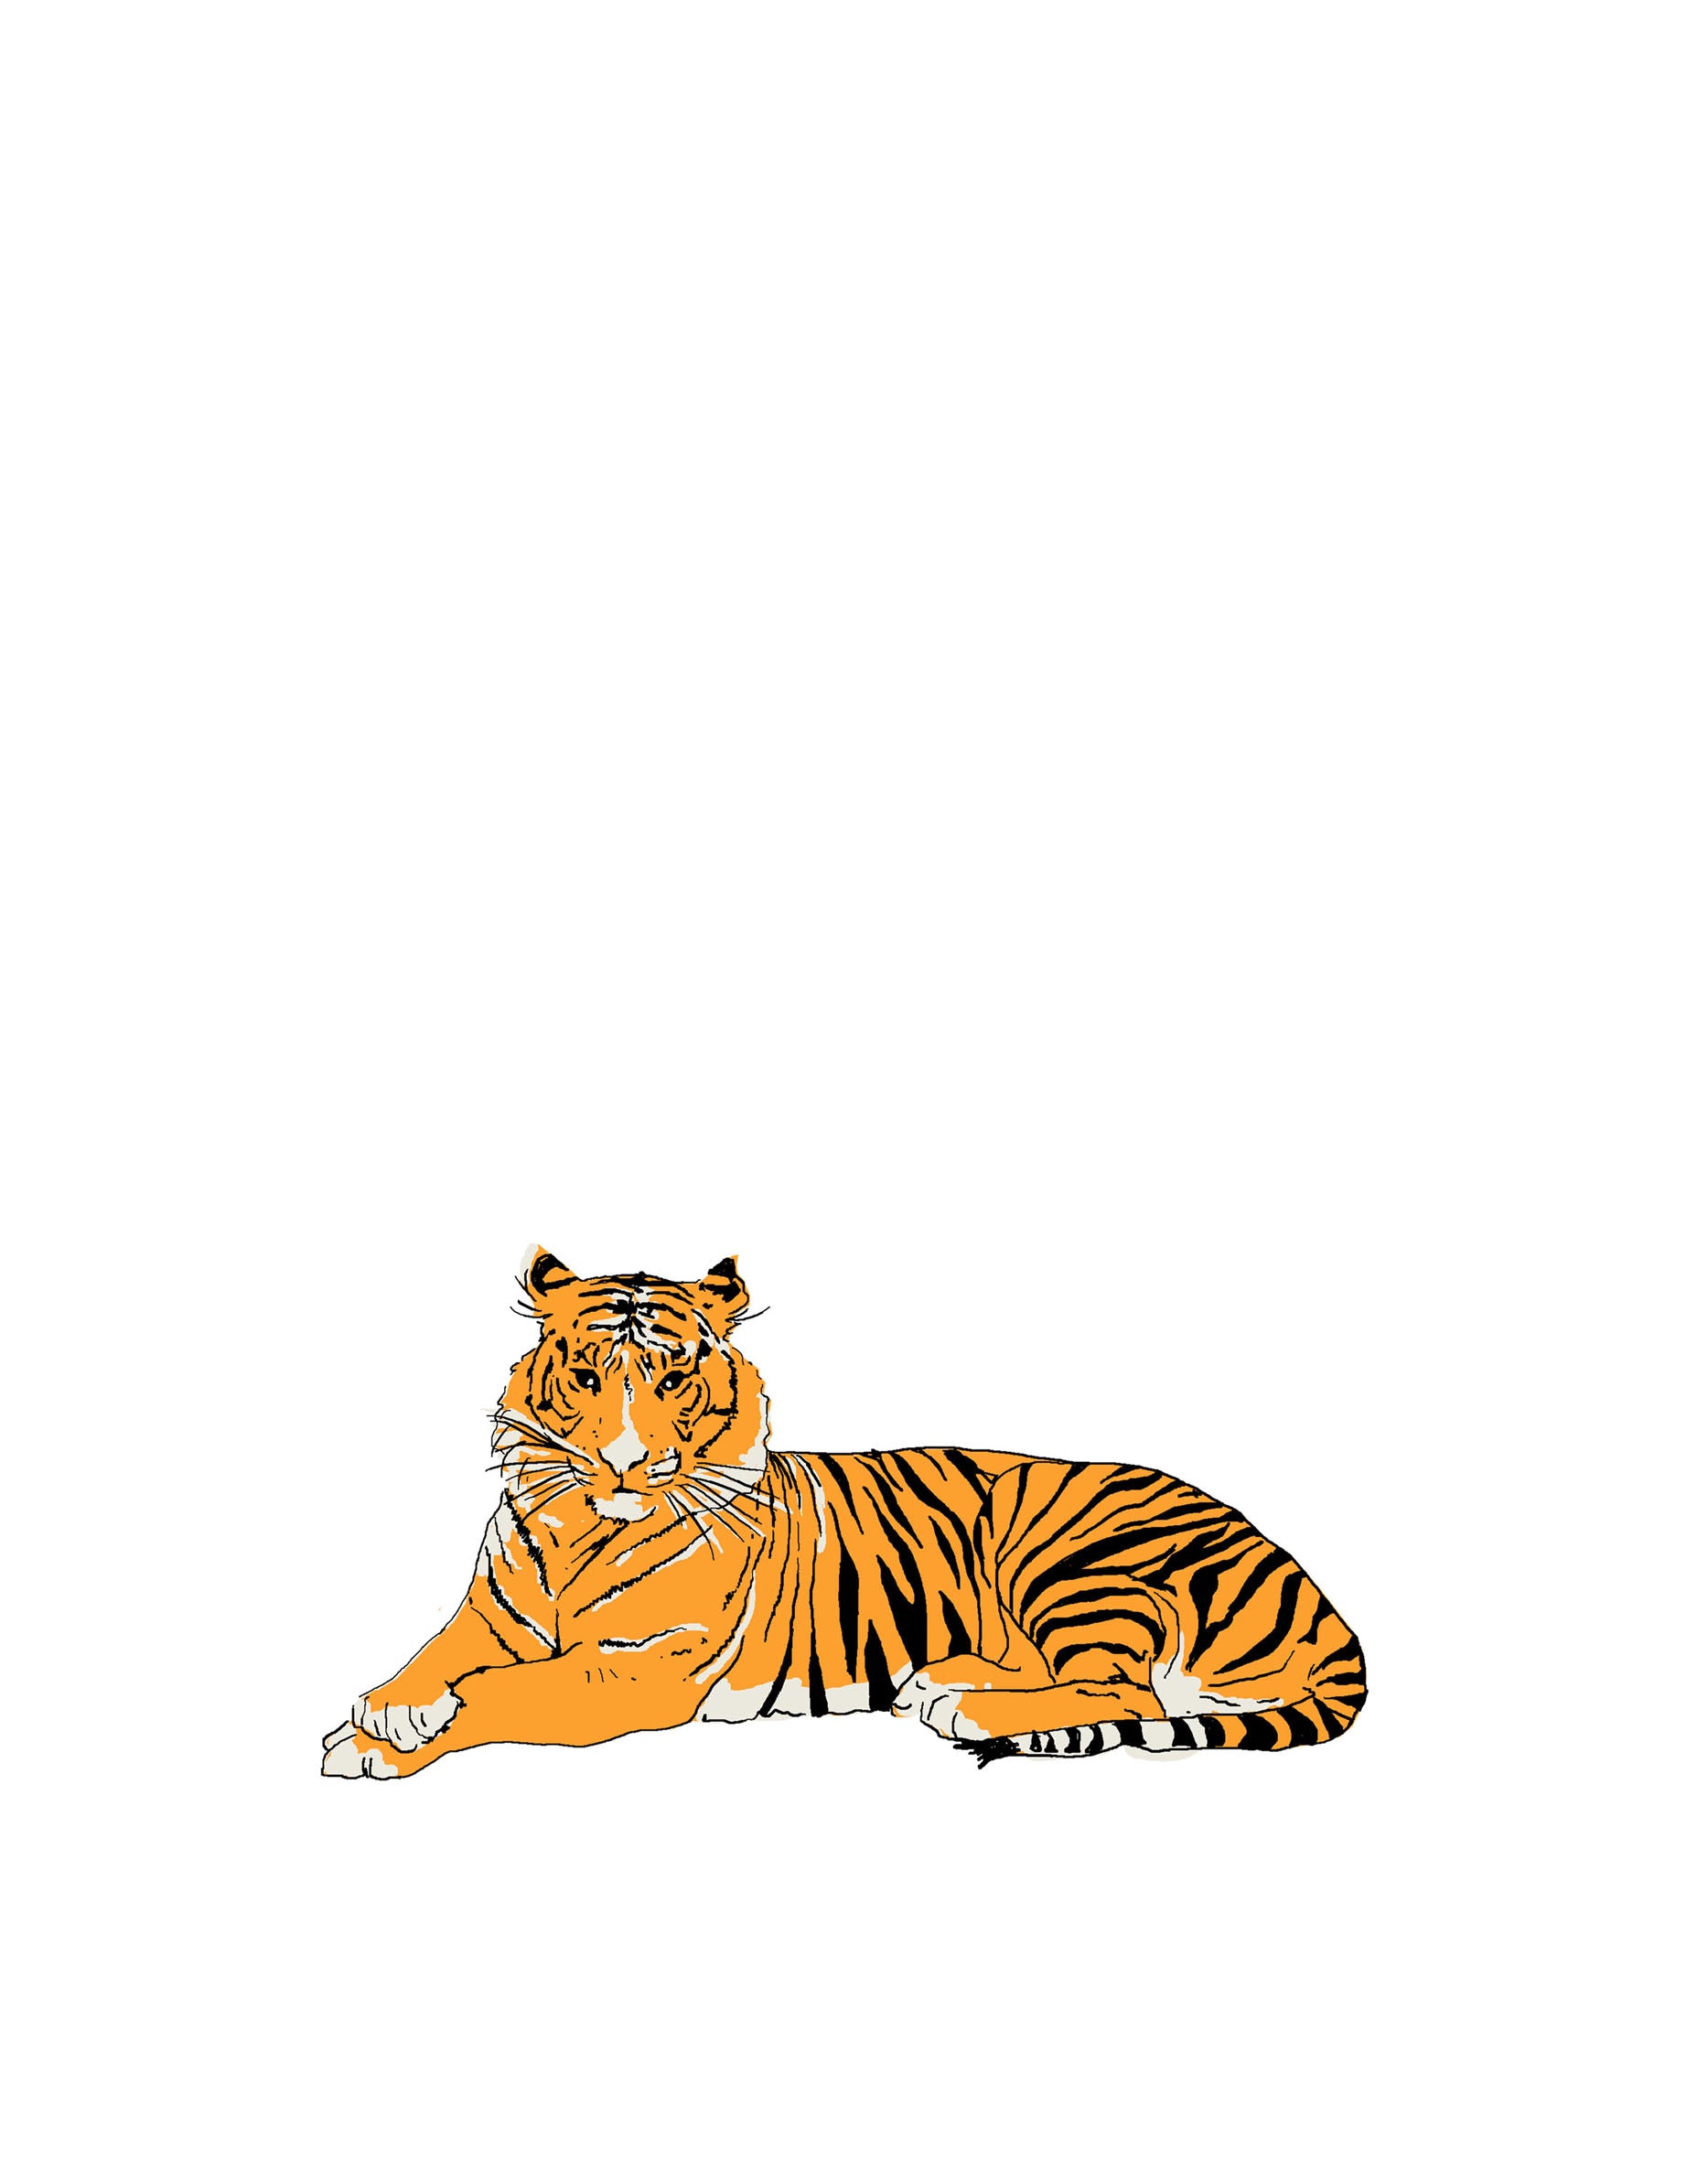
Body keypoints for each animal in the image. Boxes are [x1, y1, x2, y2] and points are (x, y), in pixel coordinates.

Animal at [321, 1252, 1366, 1778]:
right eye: (586, 1377)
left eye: (672, 1379)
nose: (624, 1462)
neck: (581, 1524)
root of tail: (1314, 1593)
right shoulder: (488, 1619)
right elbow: (436, 1659)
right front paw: (387, 1707)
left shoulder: (641, 1668)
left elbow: (501, 1694)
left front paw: (376, 1743)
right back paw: (943, 1681)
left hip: (1073, 1560)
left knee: (1127, 1691)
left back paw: (963, 1702)